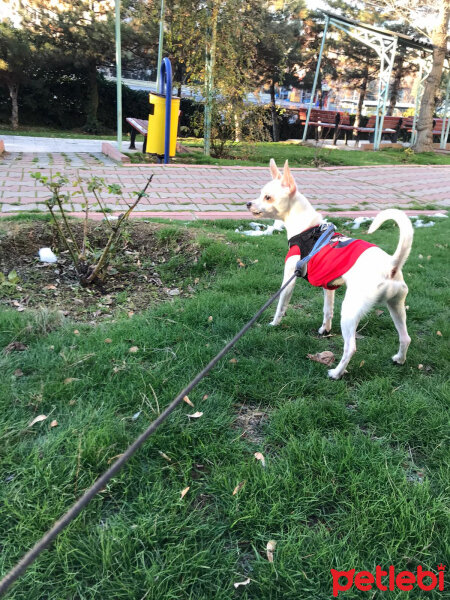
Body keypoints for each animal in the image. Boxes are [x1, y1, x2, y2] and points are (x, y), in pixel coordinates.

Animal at [248, 159, 414, 380]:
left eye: (267, 197)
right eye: (260, 194)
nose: (248, 203)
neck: (308, 230)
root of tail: (391, 266)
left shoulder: (289, 279)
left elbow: (280, 306)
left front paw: (274, 324)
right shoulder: (329, 287)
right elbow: (327, 311)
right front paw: (324, 330)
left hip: (351, 311)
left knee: (350, 347)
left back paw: (336, 373)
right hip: (396, 306)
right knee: (405, 337)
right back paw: (399, 359)